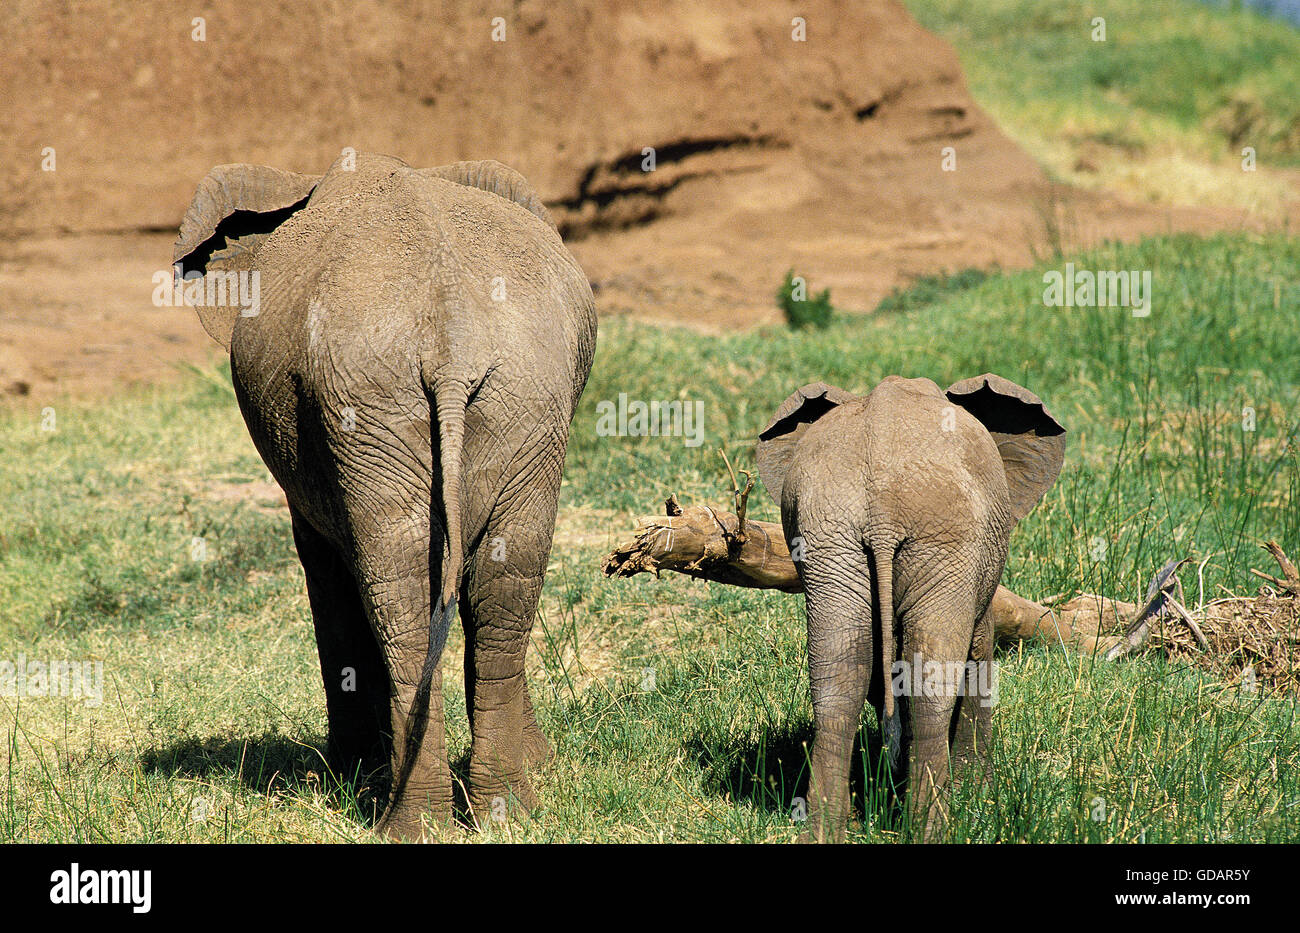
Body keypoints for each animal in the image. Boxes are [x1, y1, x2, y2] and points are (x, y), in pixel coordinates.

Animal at [173, 152, 597, 838]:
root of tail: (451, 340)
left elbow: (324, 567)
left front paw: (343, 773)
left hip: (387, 406)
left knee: (397, 586)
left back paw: (410, 816)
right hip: (509, 399)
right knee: (500, 582)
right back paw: (501, 811)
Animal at [755, 374, 1065, 841]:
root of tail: (881, 509)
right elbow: (977, 653)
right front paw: (979, 798)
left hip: (829, 537)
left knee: (839, 679)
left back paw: (825, 830)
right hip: (945, 539)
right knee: (931, 687)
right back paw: (933, 829)